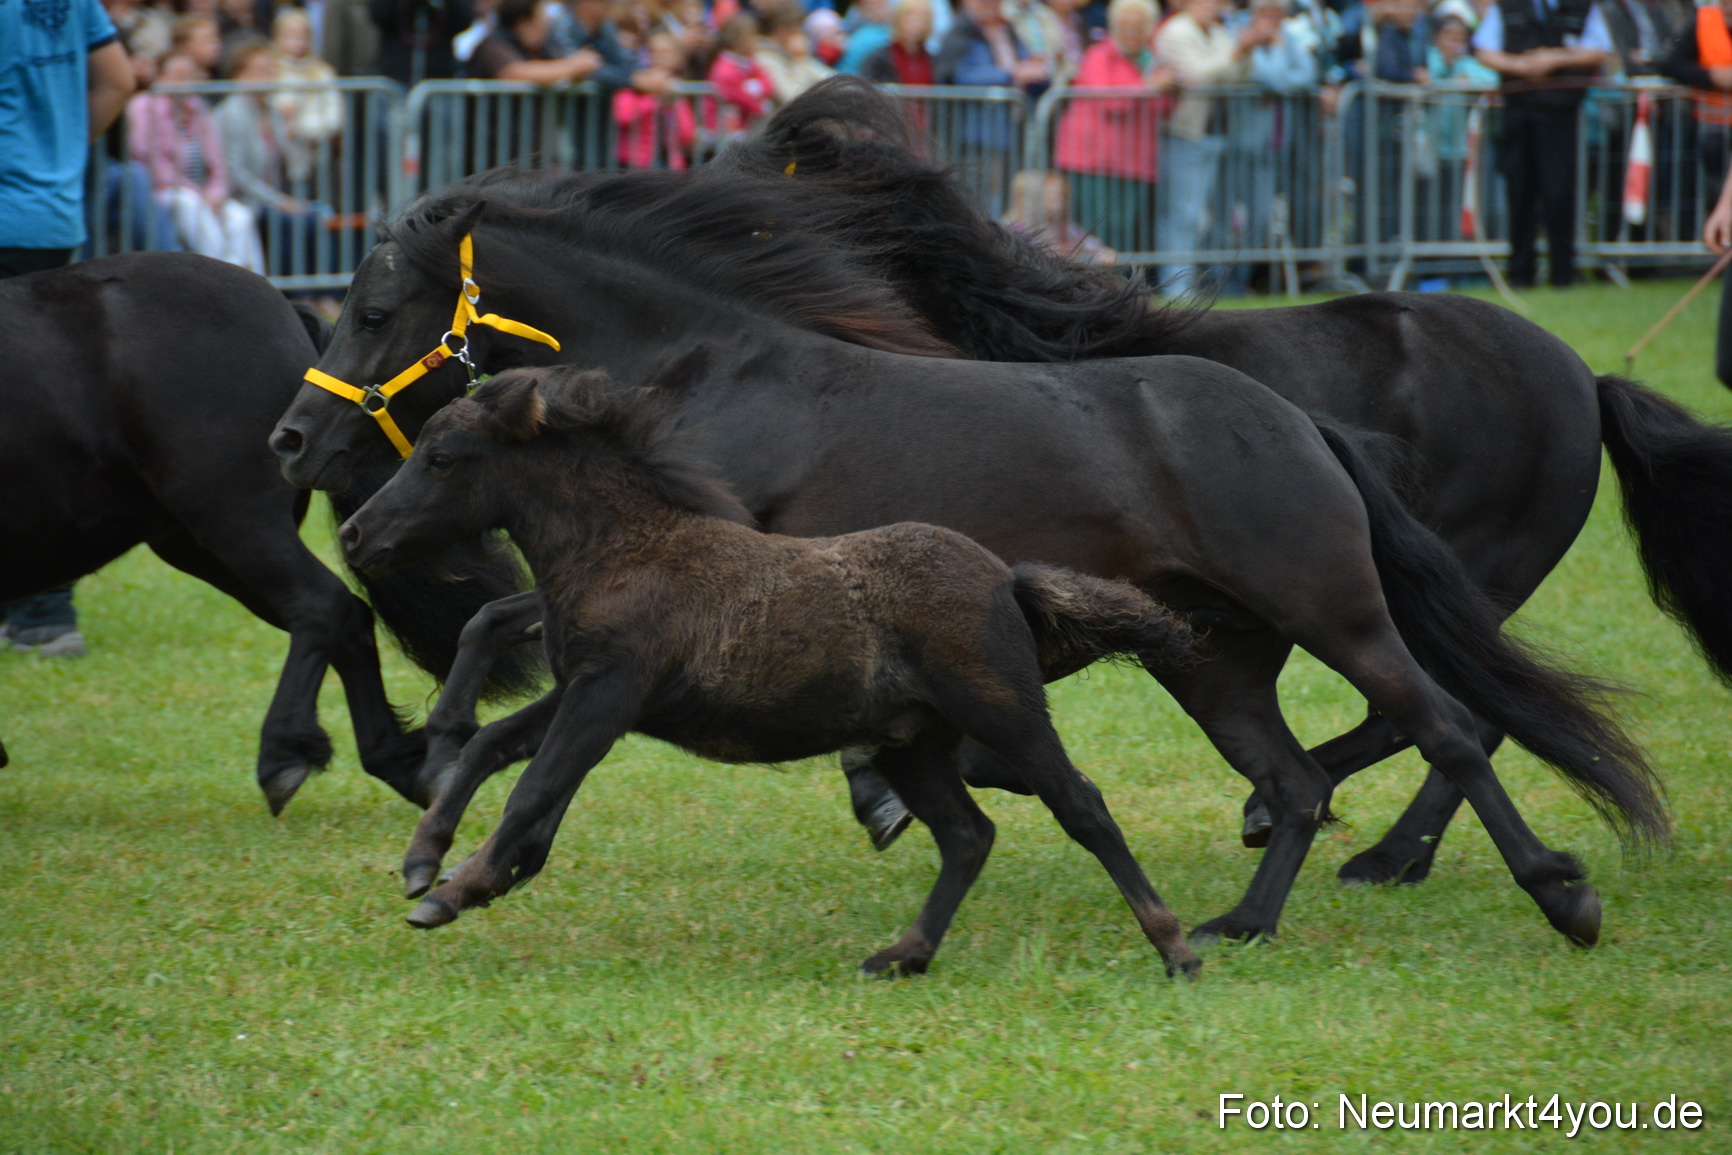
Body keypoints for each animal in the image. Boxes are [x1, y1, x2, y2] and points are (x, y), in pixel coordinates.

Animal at [0, 252, 457, 812]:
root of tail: (281, 304)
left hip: (234, 519)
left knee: (322, 605)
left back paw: (284, 754)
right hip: (199, 544)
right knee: (349, 616)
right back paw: (397, 762)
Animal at [338, 366, 1208, 977]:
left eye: (442, 458)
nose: (352, 534)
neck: (624, 549)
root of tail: (1007, 580)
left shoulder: (607, 694)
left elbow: (533, 787)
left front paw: (456, 890)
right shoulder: (583, 688)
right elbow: (492, 747)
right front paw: (425, 858)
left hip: (1004, 711)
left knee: (1081, 805)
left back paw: (1176, 947)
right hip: (911, 743)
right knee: (968, 833)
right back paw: (904, 954)